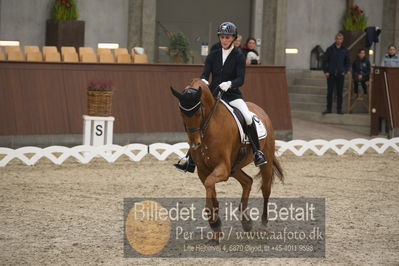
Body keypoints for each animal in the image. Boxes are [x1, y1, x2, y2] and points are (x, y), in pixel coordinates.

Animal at [170, 78, 282, 242]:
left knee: (265, 190)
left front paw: (214, 222)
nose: (195, 143)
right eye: (182, 113)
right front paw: (216, 229)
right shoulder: (204, 171)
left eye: (198, 112)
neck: (209, 127)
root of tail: (259, 110)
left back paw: (263, 226)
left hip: (263, 162)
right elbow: (210, 189)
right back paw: (246, 221)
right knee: (247, 181)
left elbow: (210, 184)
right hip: (234, 168)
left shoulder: (222, 168)